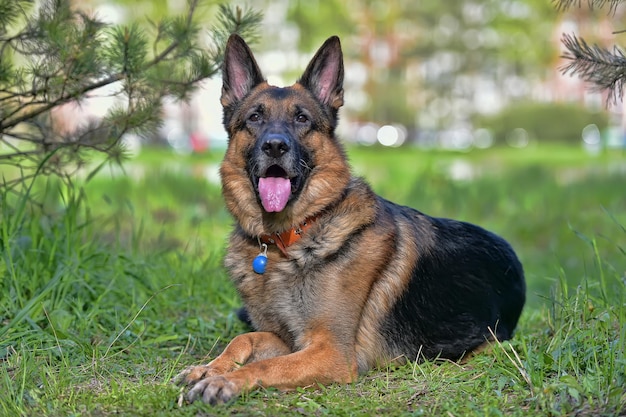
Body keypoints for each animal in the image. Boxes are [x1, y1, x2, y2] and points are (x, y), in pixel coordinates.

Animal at [174, 34, 520, 404]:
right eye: (254, 117)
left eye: (302, 119)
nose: (275, 146)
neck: (289, 240)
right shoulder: (285, 338)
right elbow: (244, 339)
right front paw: (209, 368)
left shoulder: (332, 352)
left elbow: (265, 365)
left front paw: (225, 381)